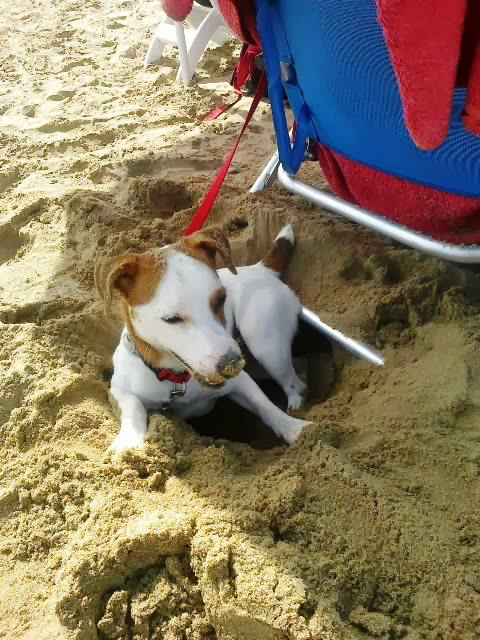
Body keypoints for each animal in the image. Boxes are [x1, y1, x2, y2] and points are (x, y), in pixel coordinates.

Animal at [95, 224, 311, 453]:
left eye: (222, 300)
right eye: (171, 319)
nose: (232, 364)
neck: (177, 379)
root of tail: (261, 268)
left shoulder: (242, 381)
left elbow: (265, 405)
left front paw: (294, 428)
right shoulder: (119, 389)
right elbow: (133, 406)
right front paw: (128, 442)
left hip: (266, 346)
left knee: (293, 382)